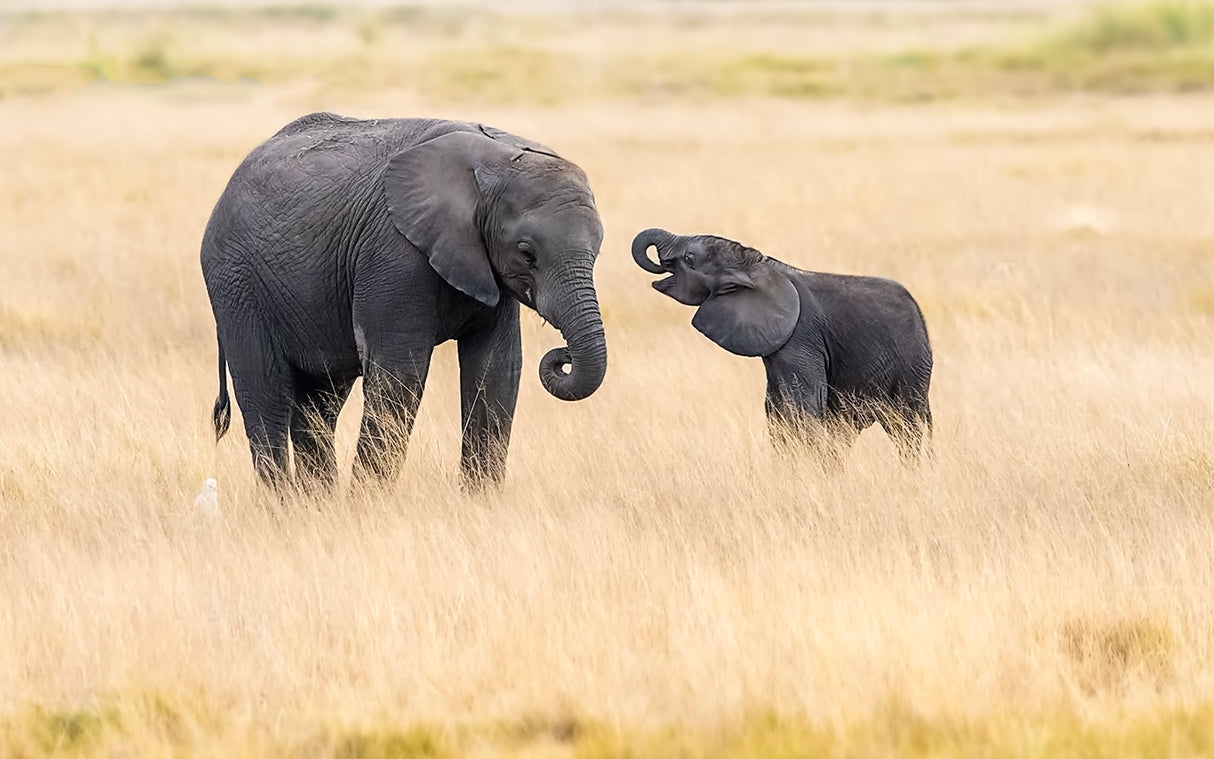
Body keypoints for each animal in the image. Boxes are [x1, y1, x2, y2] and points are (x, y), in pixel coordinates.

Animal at [201, 113, 608, 491]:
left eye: (598, 249)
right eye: (527, 253)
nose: (563, 355)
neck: (497, 157)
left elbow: (496, 370)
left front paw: (479, 503)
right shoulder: (394, 253)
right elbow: (399, 372)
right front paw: (369, 505)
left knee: (319, 404)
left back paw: (318, 504)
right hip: (236, 284)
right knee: (267, 396)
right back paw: (284, 506)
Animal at [632, 228, 932, 461]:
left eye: (689, 258)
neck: (756, 265)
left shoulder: (800, 338)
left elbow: (803, 405)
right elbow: (776, 411)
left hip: (913, 366)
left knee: (909, 427)